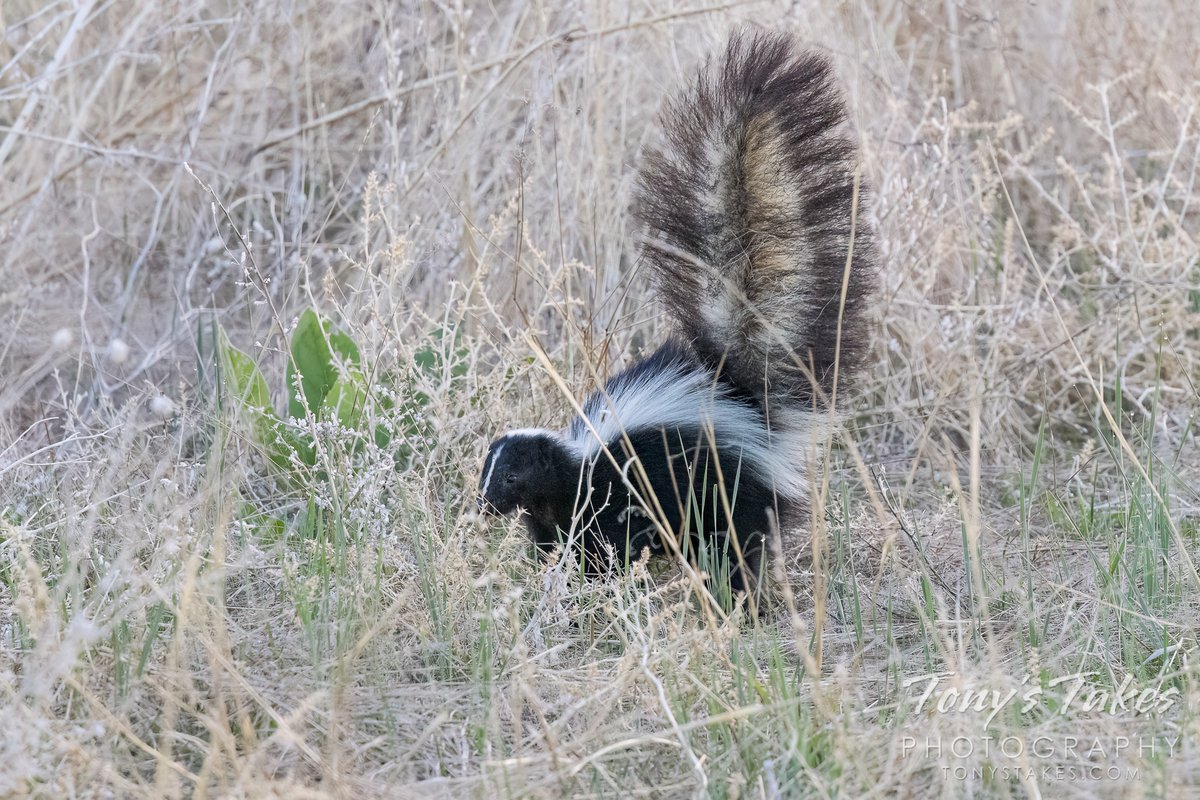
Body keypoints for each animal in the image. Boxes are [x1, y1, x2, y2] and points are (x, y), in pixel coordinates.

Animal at [475, 32, 873, 599]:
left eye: (511, 477)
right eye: (487, 471)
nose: (484, 505)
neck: (571, 468)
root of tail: (738, 394)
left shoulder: (608, 496)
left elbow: (602, 546)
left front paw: (596, 587)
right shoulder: (552, 515)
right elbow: (557, 547)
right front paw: (555, 581)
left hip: (727, 486)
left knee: (736, 543)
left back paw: (739, 596)